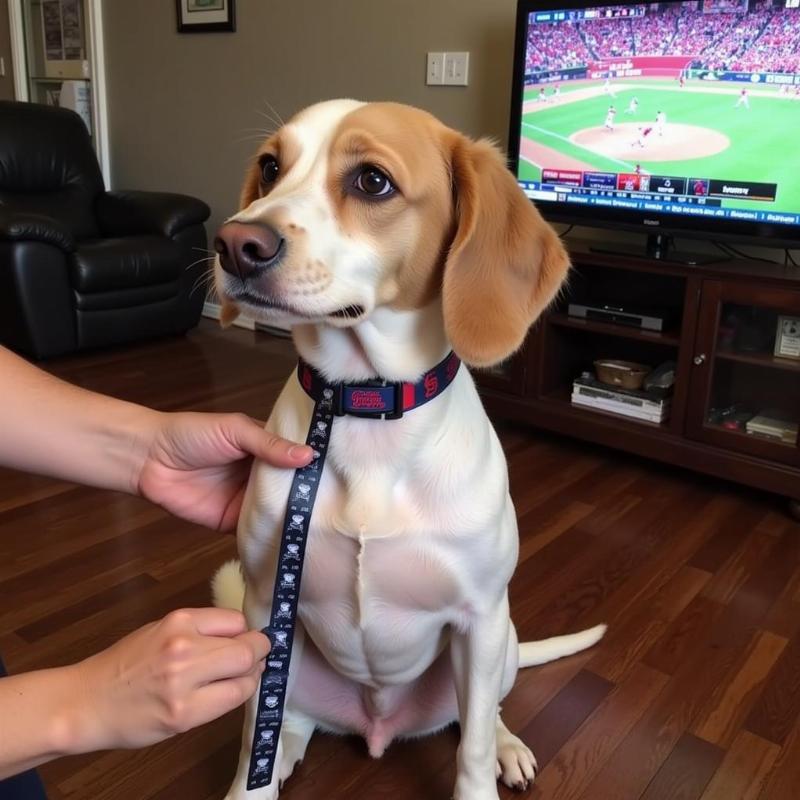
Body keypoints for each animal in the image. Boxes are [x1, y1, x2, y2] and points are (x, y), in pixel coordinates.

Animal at [212, 101, 608, 800]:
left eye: (372, 181)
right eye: (271, 167)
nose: (234, 244)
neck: (366, 404)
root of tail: (378, 725)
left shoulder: (479, 618)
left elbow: (471, 749)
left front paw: (485, 768)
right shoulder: (266, 607)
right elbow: (255, 729)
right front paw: (251, 782)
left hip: (502, 643)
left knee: (483, 714)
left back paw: (508, 745)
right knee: (290, 721)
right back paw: (283, 753)